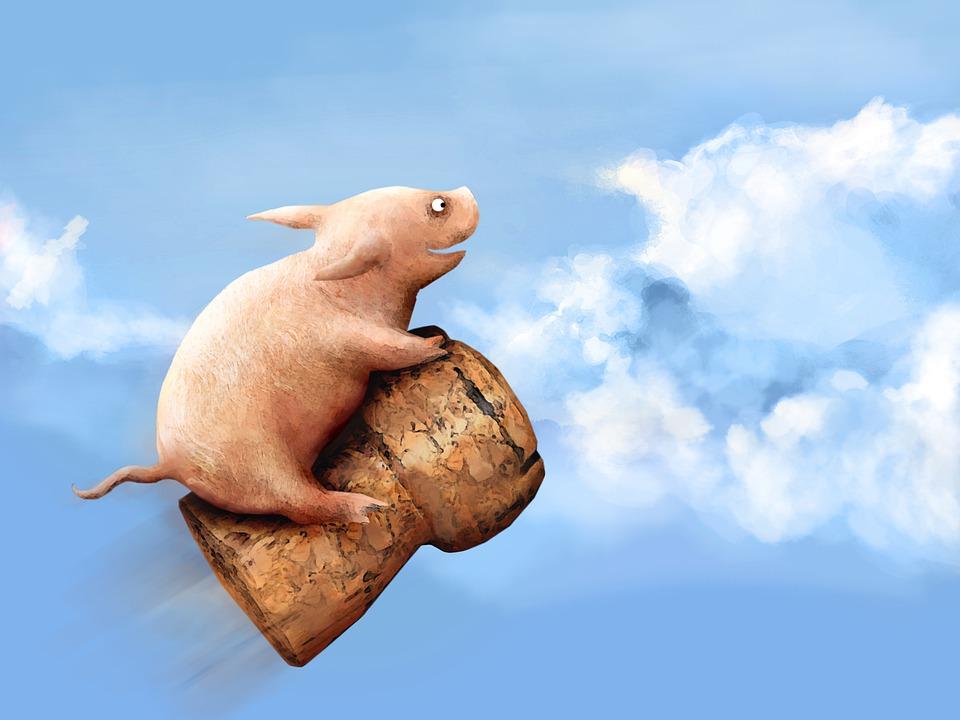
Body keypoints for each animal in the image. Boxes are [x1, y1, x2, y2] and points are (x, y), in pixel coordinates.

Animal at [73, 186, 479, 525]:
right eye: (438, 206)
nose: (466, 191)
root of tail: (166, 464)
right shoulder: (344, 334)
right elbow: (390, 349)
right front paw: (437, 343)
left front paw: (433, 332)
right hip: (262, 466)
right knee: (301, 505)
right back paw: (367, 509)